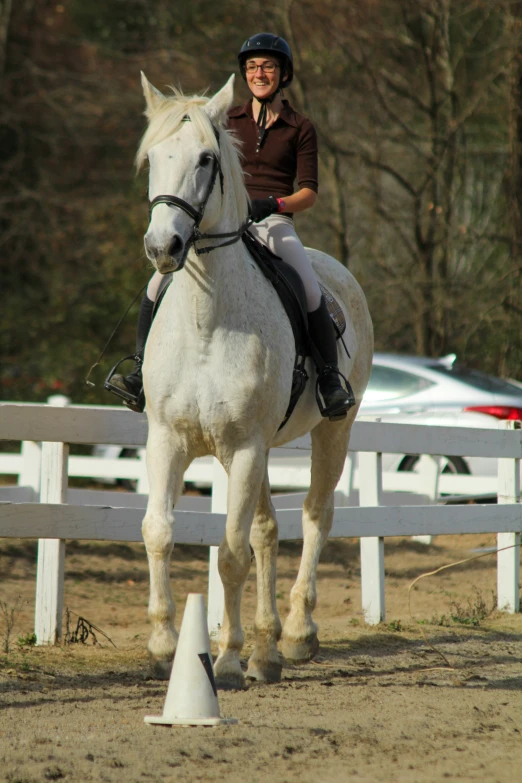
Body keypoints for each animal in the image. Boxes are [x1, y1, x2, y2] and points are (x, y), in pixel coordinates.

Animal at [138, 73, 372, 688]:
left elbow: (230, 553)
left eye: (206, 159)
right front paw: (163, 644)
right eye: (153, 158)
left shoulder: (244, 447)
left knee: (314, 517)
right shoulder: (168, 439)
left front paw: (223, 659)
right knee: (267, 529)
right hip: (256, 450)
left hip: (332, 431)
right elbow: (160, 531)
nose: (162, 248)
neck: (206, 320)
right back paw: (267, 652)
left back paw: (295, 635)